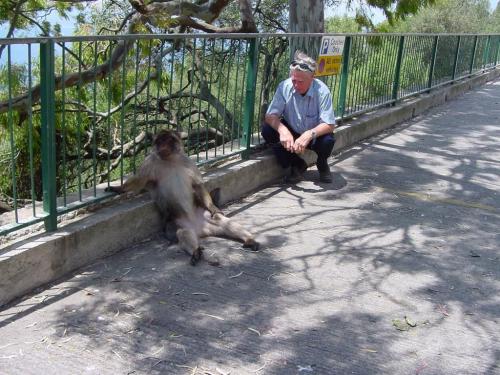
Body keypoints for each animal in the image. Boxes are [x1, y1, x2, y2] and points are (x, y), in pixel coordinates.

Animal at [107, 131, 260, 266]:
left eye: (168, 140)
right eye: (160, 141)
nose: (163, 146)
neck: (170, 160)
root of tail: (200, 230)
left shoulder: (187, 161)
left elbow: (198, 185)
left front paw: (213, 207)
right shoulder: (150, 162)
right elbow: (140, 181)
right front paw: (118, 188)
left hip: (203, 217)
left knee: (219, 220)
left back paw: (249, 239)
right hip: (180, 222)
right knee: (182, 231)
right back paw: (196, 251)